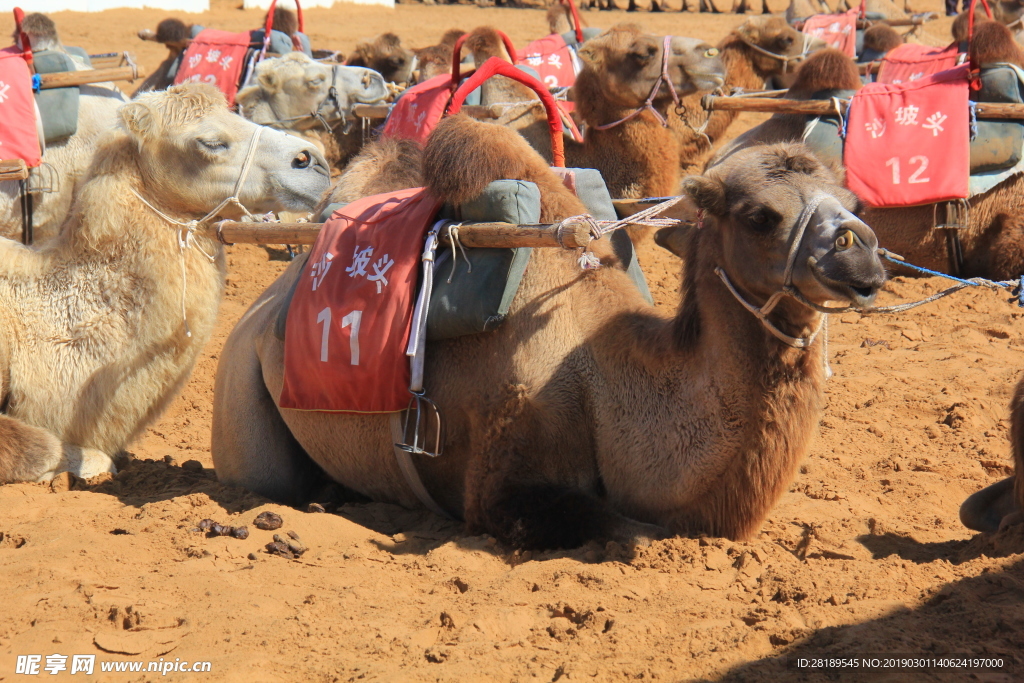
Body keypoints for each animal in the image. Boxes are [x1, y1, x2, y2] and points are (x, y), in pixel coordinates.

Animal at [209, 114, 888, 548]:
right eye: (760, 216)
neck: (603, 371)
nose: (863, 257)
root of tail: (261, 309)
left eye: (853, 199)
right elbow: (624, 526)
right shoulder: (505, 479)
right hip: (239, 390)